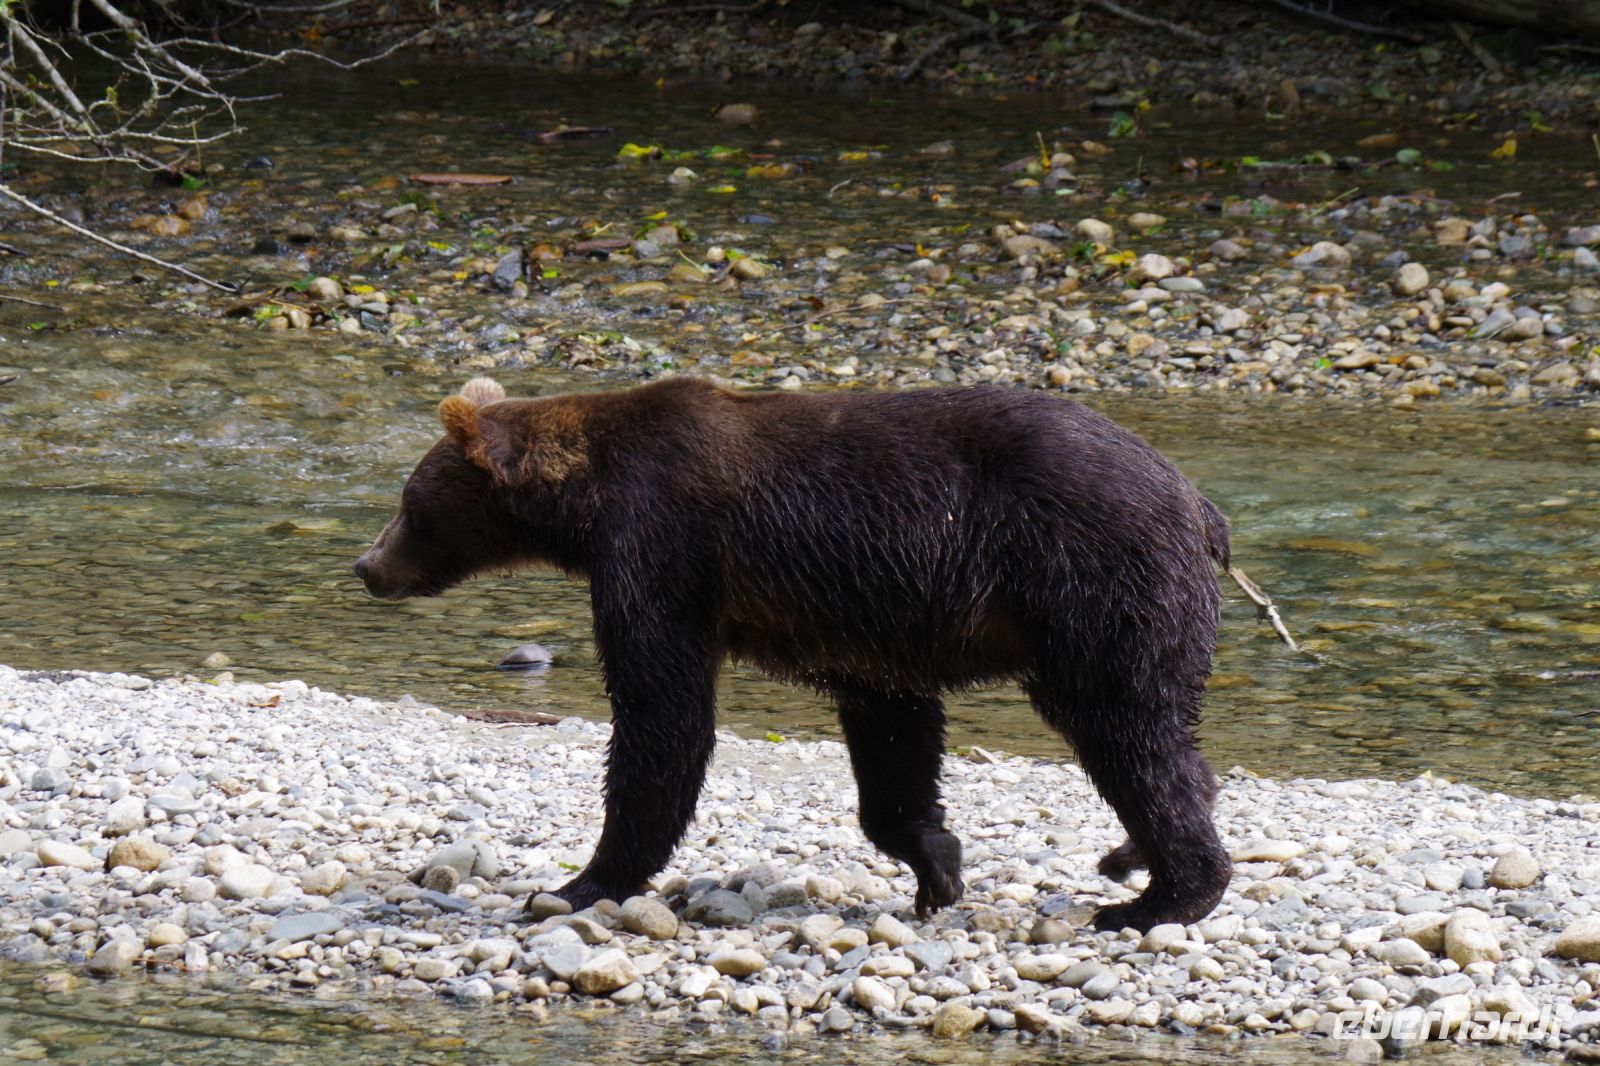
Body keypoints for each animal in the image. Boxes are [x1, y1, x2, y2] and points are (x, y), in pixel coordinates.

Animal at [355, 375, 1234, 932]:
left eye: (408, 503)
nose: (367, 566)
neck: (586, 501)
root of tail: (1200, 502)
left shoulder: (663, 548)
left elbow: (661, 717)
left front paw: (581, 882)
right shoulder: (870, 613)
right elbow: (892, 731)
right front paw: (937, 864)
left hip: (1093, 577)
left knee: (1126, 726)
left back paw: (1161, 896)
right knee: (1164, 736)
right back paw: (1131, 858)